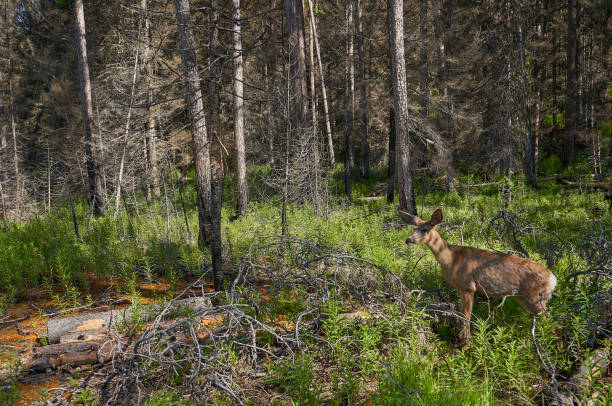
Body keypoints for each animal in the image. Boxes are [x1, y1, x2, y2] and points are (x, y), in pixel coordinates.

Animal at [400, 208, 556, 340]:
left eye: (425, 229)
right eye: (413, 228)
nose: (408, 240)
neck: (449, 259)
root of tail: (553, 279)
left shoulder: (468, 286)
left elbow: (466, 317)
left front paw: (466, 342)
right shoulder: (461, 289)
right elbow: (461, 315)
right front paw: (463, 338)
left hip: (536, 297)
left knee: (551, 321)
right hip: (525, 298)